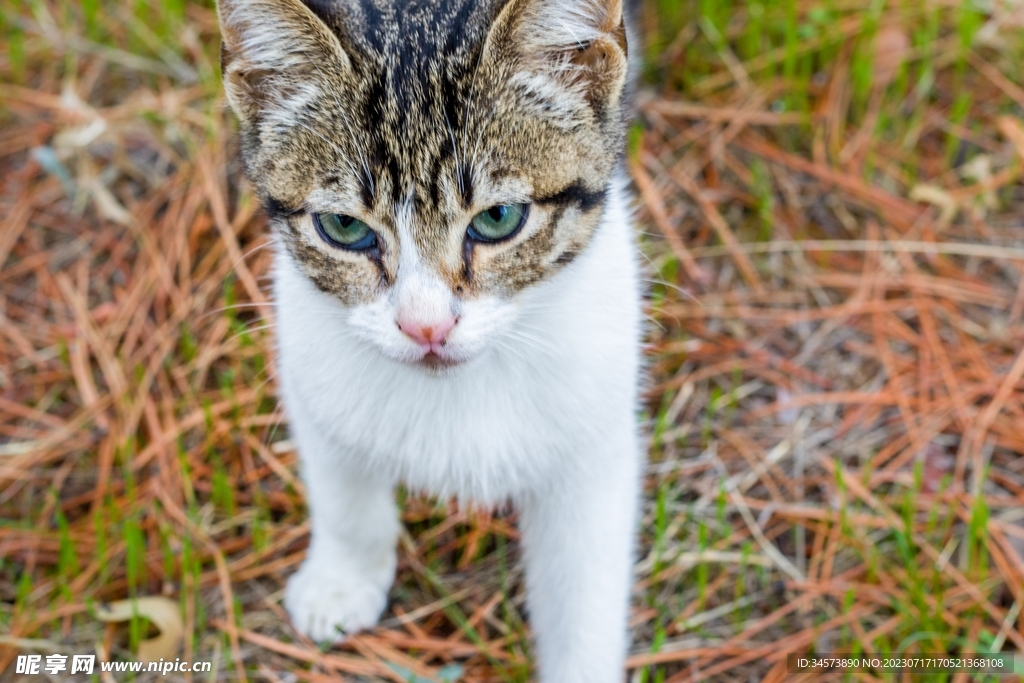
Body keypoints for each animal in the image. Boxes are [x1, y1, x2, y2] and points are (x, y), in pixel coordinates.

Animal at [217, 1, 643, 679]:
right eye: (343, 228)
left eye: (498, 218)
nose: (427, 326)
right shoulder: (311, 368)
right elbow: (343, 491)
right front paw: (342, 580)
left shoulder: (594, 436)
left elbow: (584, 588)